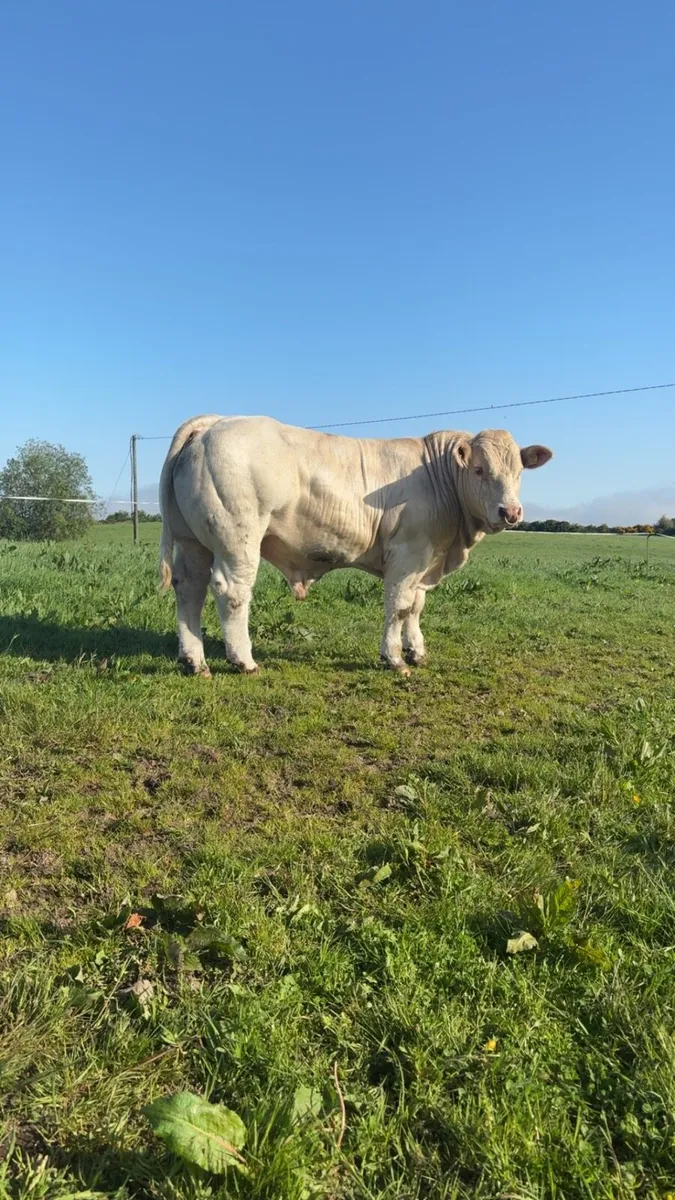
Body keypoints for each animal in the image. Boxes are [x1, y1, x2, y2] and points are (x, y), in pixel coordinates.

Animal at [159, 415, 552, 677]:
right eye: (479, 470)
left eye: (519, 472)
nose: (510, 512)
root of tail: (215, 423)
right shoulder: (407, 555)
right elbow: (399, 607)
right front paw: (394, 658)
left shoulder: (425, 560)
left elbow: (415, 608)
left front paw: (416, 651)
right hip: (237, 538)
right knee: (231, 592)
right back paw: (243, 660)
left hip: (192, 541)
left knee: (189, 588)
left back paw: (194, 660)